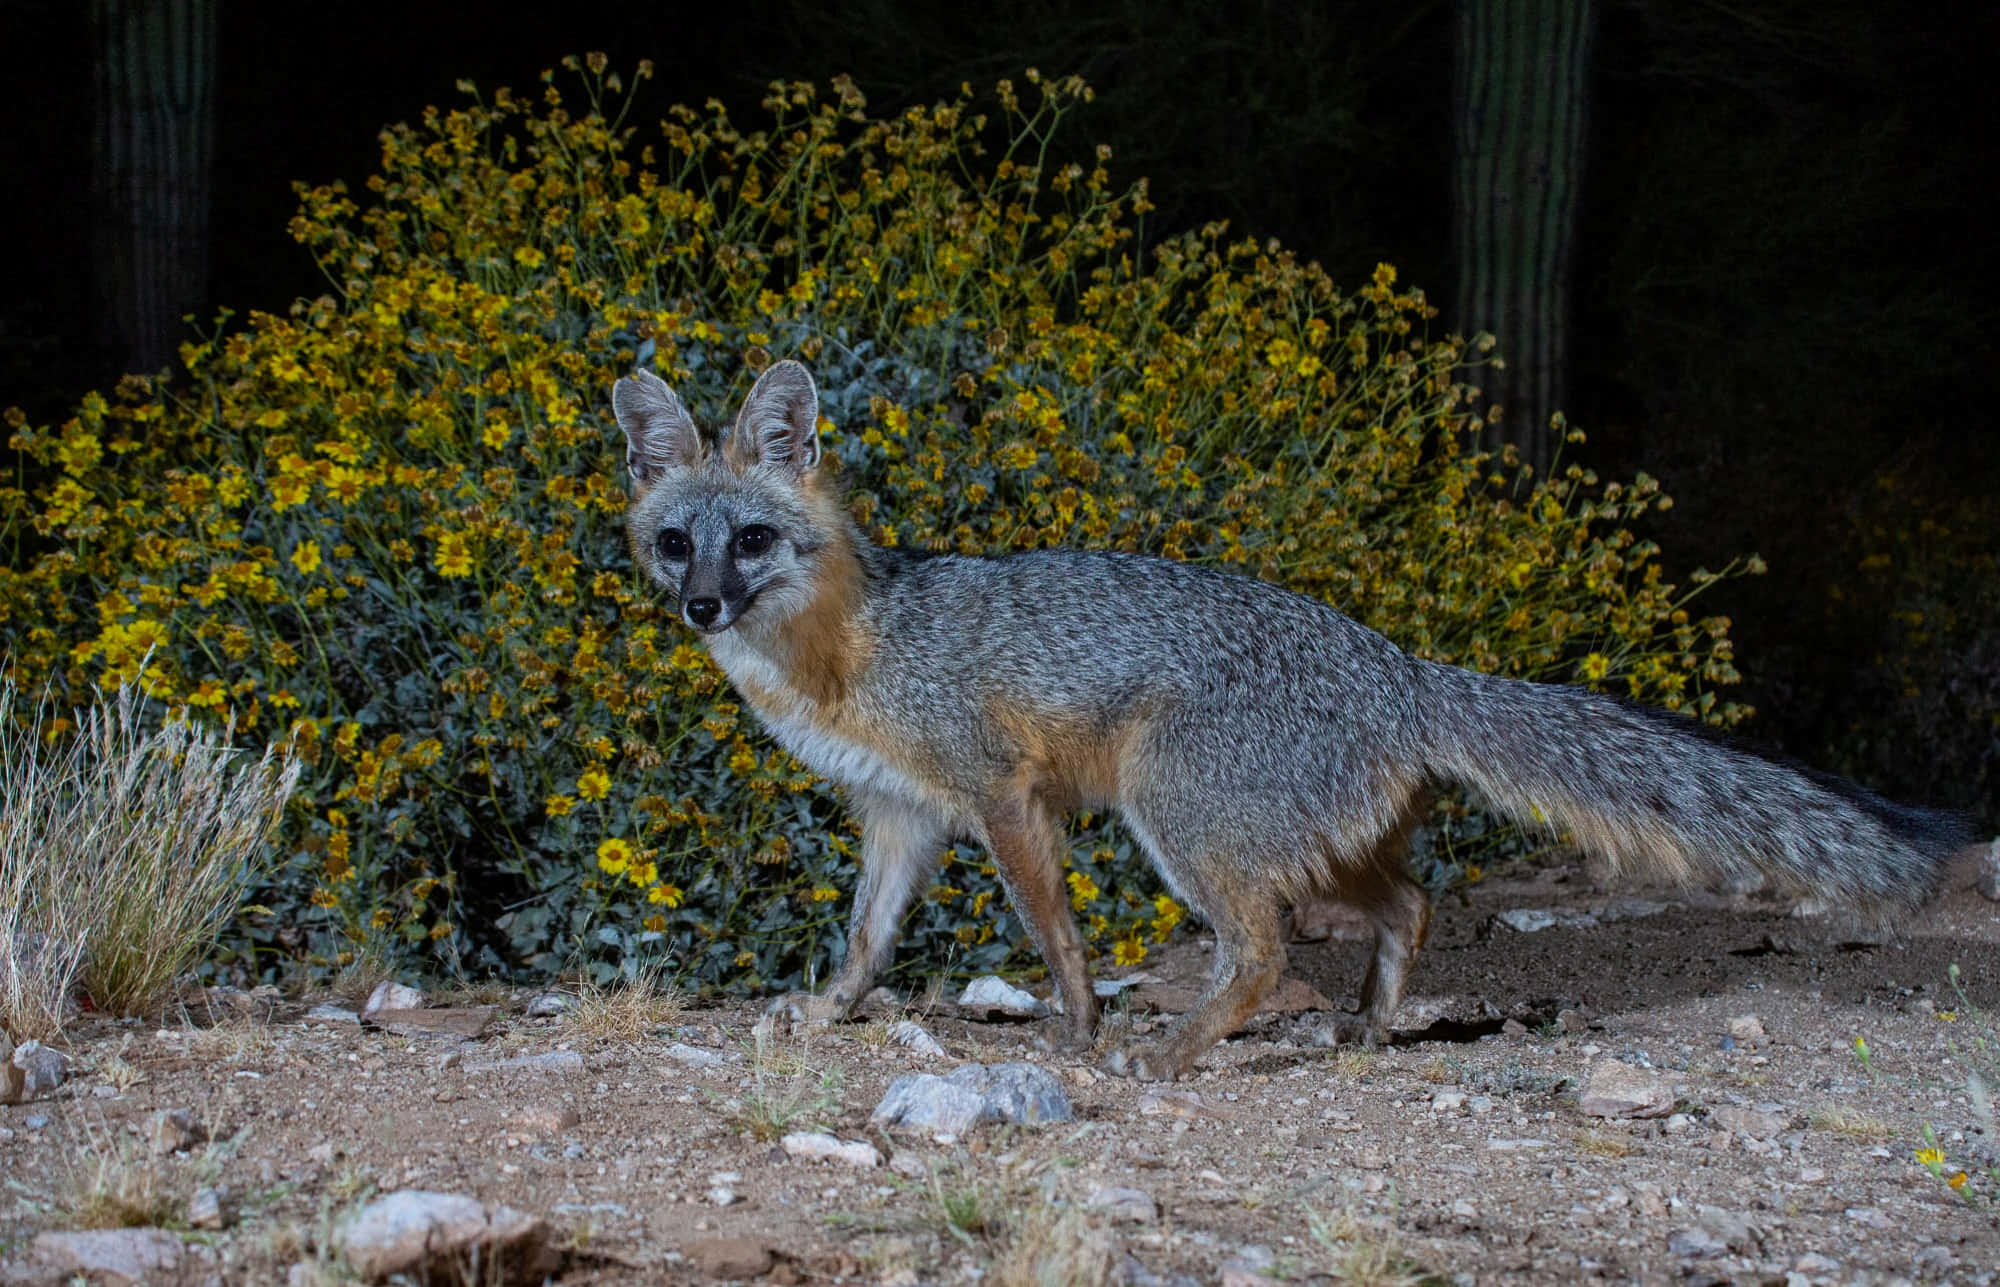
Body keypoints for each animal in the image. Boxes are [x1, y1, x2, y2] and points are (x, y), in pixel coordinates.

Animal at [611, 359, 1969, 1081]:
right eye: (678, 541)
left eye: (752, 540)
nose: (698, 605)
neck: (850, 642)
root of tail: (1395, 663)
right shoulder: (899, 818)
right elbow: (864, 943)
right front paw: (827, 1011)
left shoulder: (999, 793)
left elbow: (1055, 937)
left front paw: (1082, 1031)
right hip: (1306, 842)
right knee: (1408, 902)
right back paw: (1365, 1028)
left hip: (1178, 820)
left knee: (1262, 954)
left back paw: (1174, 1052)